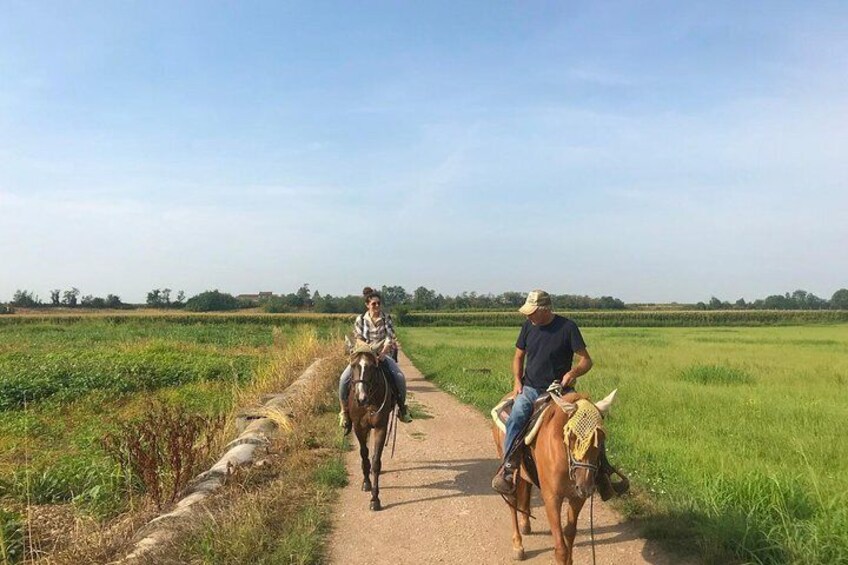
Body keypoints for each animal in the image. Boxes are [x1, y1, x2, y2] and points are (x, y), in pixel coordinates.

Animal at [346, 344, 396, 512]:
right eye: (353, 365)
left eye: (373, 367)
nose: (361, 398)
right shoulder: (359, 428)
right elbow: (364, 455)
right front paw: (366, 483)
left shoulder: (381, 427)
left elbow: (375, 462)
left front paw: (375, 499)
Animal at [490, 388, 616, 564]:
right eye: (572, 437)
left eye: (601, 437)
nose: (586, 487)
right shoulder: (552, 498)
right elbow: (560, 548)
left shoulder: (577, 498)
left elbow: (570, 533)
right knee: (512, 502)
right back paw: (518, 545)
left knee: (525, 491)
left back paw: (525, 524)